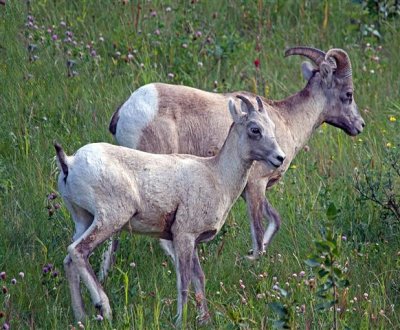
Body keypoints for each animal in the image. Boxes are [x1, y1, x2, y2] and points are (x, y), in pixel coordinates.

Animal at [54, 96, 286, 324]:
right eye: (255, 129)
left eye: (272, 126)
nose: (280, 157)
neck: (217, 175)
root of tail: (69, 162)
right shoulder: (183, 236)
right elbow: (184, 282)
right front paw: (180, 321)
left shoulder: (193, 241)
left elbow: (199, 278)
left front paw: (204, 320)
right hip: (110, 220)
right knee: (77, 251)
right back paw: (104, 307)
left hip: (83, 219)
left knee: (69, 261)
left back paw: (81, 316)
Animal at [105, 46, 366, 270]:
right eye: (349, 94)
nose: (360, 125)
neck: (287, 121)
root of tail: (127, 110)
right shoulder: (257, 184)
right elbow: (258, 231)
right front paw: (252, 258)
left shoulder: (248, 189)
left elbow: (275, 220)